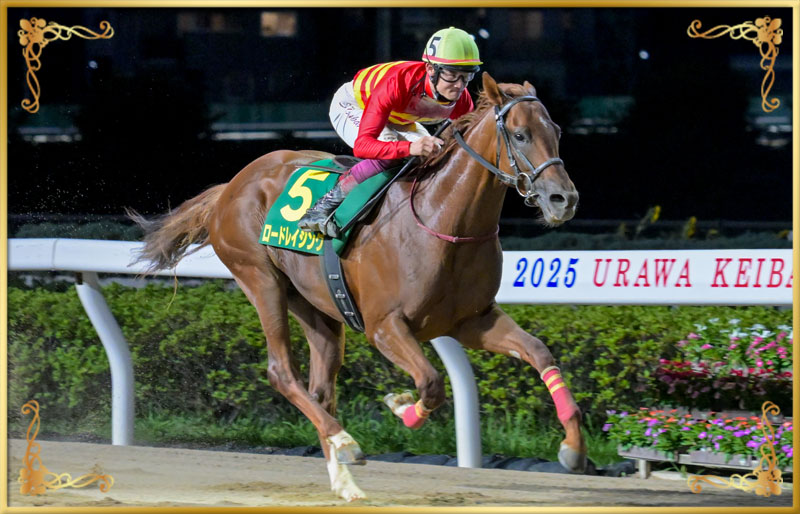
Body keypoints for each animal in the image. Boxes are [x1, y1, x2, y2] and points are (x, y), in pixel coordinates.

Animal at [129, 72, 583, 502]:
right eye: (520, 135)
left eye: (557, 130)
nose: (563, 199)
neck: (443, 219)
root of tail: (231, 186)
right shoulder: (385, 326)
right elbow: (431, 384)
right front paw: (402, 407)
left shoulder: (472, 321)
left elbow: (539, 353)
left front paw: (573, 448)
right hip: (260, 279)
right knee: (282, 373)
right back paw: (346, 441)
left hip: (317, 308)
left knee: (320, 389)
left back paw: (345, 481)